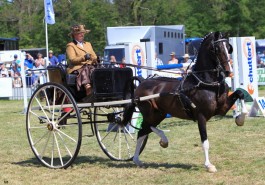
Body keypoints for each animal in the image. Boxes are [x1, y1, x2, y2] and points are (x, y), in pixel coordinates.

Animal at [122, 31, 248, 172]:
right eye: (217, 49)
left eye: (229, 47)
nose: (228, 71)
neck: (207, 83)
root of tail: (142, 82)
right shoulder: (201, 116)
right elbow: (205, 142)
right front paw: (209, 165)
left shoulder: (222, 108)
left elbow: (240, 93)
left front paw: (240, 119)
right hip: (151, 114)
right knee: (145, 128)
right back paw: (161, 142)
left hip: (159, 114)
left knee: (143, 131)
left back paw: (140, 158)